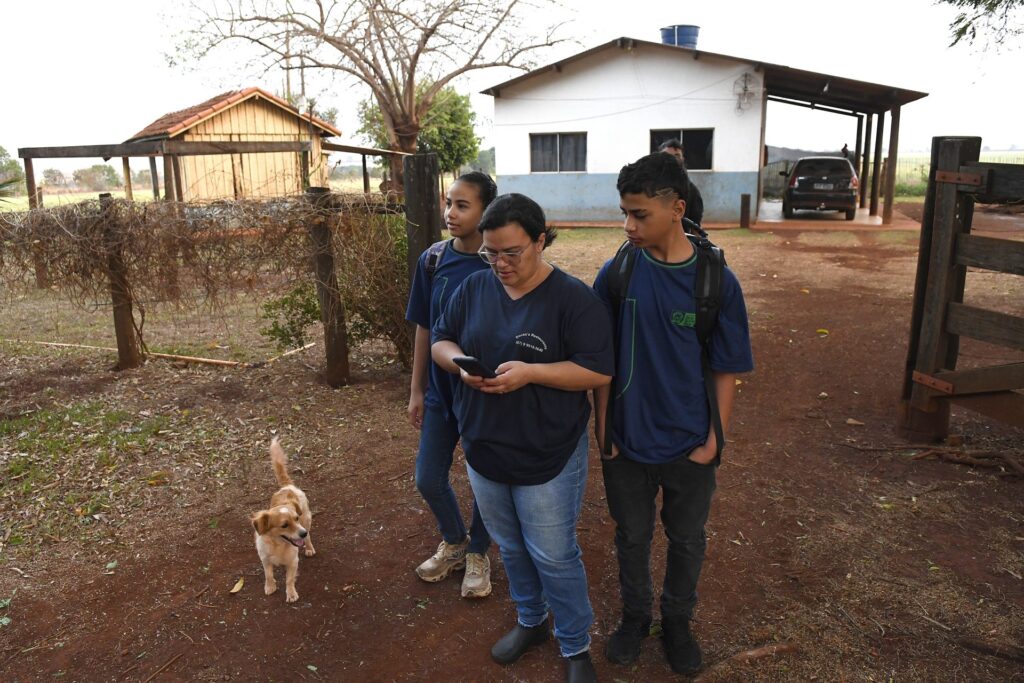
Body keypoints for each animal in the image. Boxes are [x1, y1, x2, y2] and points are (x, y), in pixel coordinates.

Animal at [249, 438, 313, 602]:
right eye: (284, 525)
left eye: (296, 519)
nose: (302, 533)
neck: (278, 545)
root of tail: (287, 486)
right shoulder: (265, 560)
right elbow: (268, 574)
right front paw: (270, 586)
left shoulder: (293, 562)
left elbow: (289, 579)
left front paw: (291, 594)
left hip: (307, 521)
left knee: (309, 537)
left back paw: (309, 548)